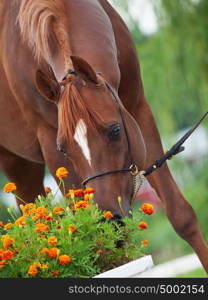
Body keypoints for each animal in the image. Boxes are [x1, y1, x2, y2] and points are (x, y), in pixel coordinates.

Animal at [0, 0, 208, 270]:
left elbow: (181, 215)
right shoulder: (48, 141)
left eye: (116, 130)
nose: (109, 218)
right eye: (63, 148)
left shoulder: (137, 107)